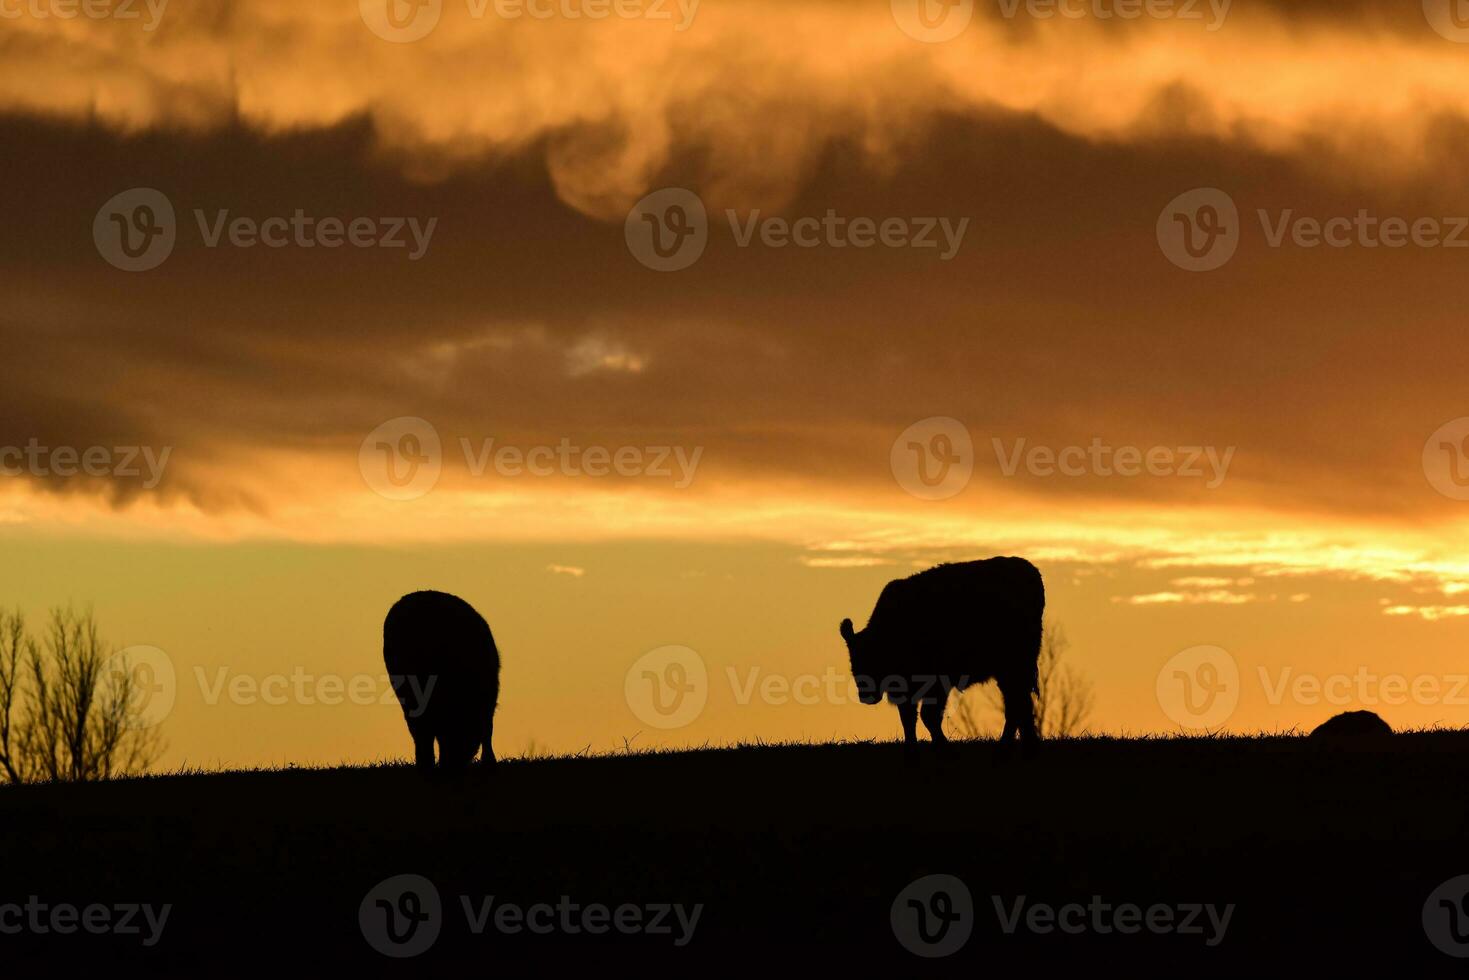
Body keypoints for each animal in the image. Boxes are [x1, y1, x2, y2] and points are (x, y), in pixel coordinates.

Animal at [840, 555, 1045, 758]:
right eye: (853, 665)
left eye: (873, 659)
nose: (865, 695)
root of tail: (1030, 570)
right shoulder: (907, 688)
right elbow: (908, 718)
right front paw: (911, 751)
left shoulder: (936, 683)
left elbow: (928, 716)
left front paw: (945, 748)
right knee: (1019, 704)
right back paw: (1024, 747)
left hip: (1014, 667)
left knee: (1017, 704)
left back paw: (1011, 747)